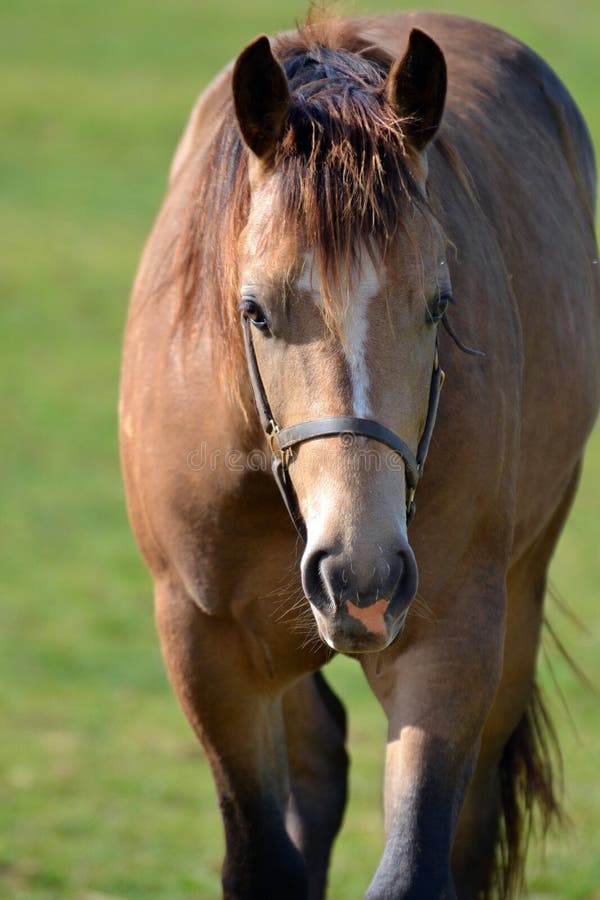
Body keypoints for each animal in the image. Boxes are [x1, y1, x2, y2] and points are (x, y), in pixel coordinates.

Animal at [118, 8, 600, 900]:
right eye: (255, 310)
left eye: (439, 303)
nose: (361, 576)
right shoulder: (204, 643)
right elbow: (263, 861)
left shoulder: (449, 638)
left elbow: (416, 867)